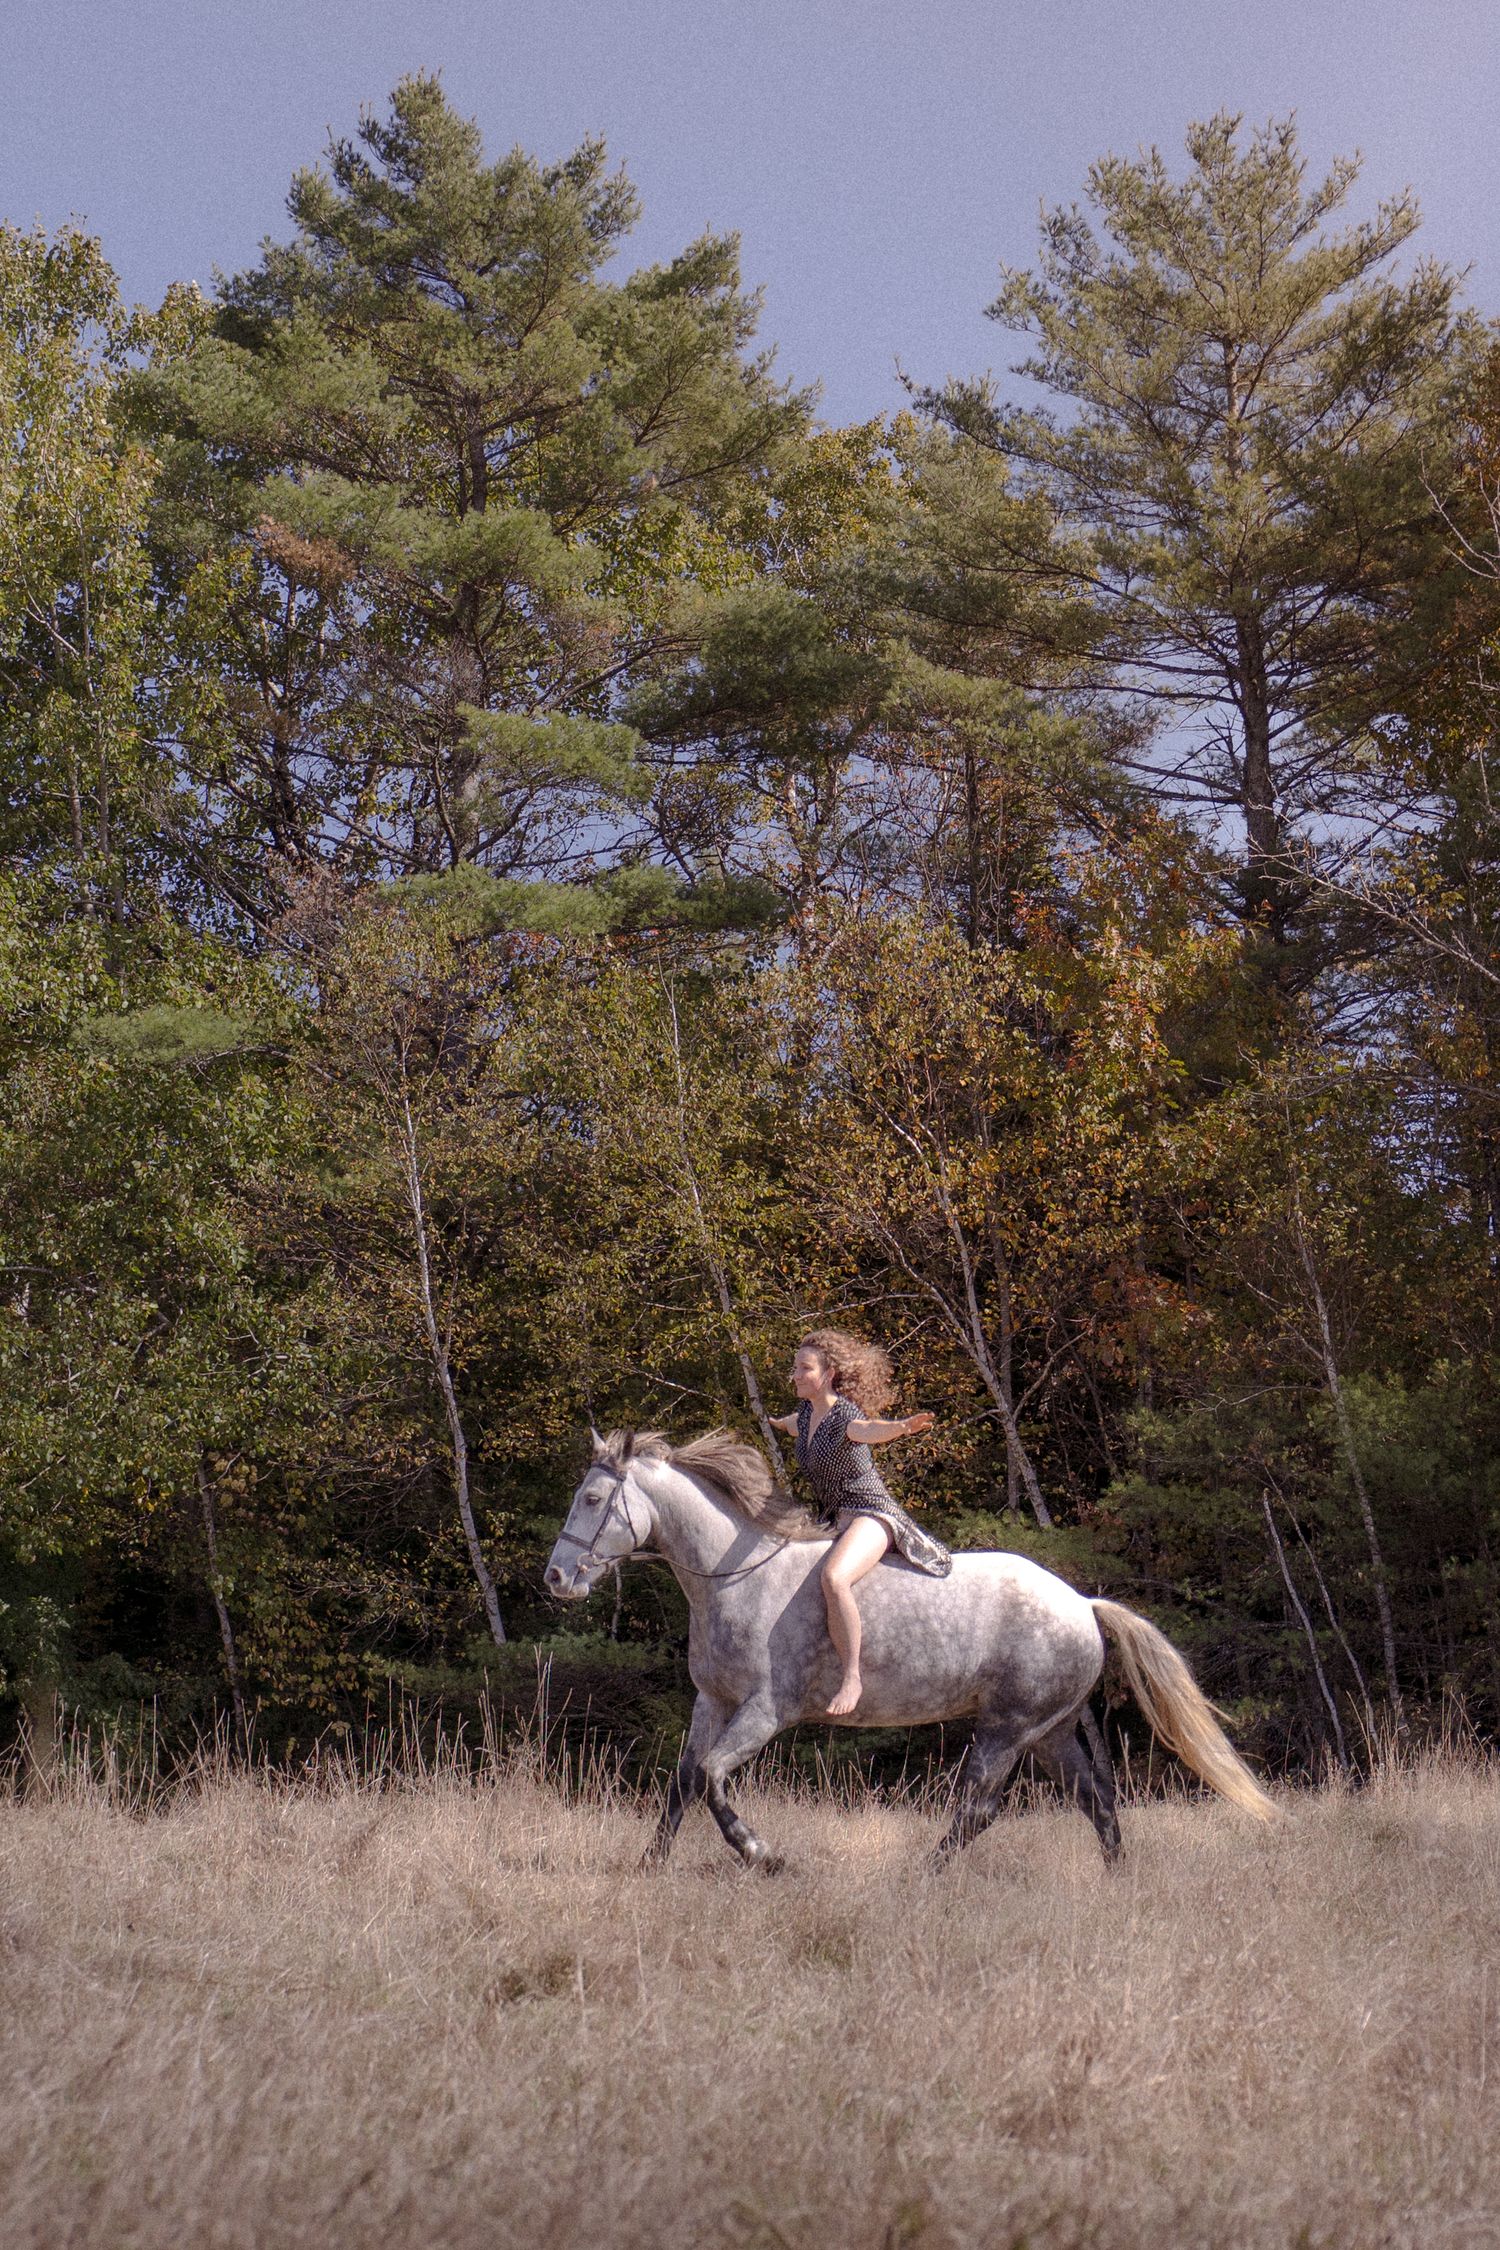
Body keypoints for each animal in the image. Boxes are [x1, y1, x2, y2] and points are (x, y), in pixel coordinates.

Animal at [543, 1426, 1278, 1870]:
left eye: (593, 1498)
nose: (554, 1579)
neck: (734, 1575)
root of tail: (1083, 1605)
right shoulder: (712, 1703)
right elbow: (683, 1782)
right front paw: (648, 1868)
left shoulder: (764, 1711)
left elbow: (715, 1777)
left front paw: (763, 1855)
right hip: (1051, 1730)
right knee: (1095, 1799)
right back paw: (1116, 1880)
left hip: (1007, 1727)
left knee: (979, 1807)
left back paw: (920, 1877)